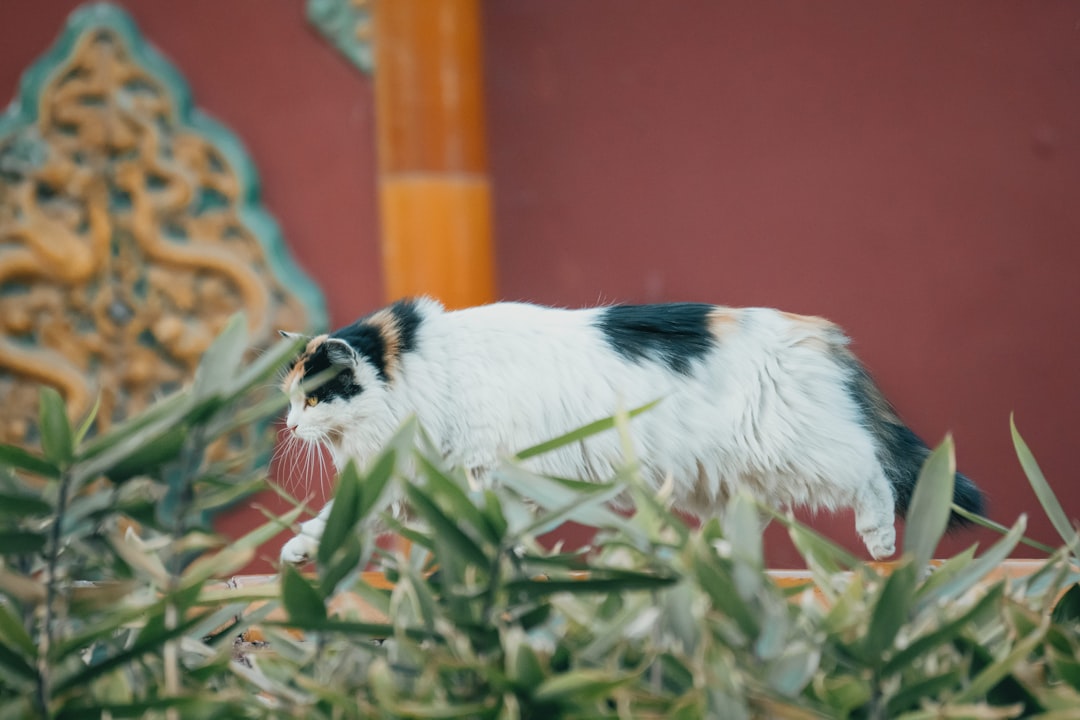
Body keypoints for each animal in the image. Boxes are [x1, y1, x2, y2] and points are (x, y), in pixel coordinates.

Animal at [276, 297, 980, 561]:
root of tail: (816, 331)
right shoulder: (422, 474)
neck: (424, 366)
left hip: (801, 450)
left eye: (311, 399)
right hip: (723, 480)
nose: (287, 424)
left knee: (870, 469)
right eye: (290, 399)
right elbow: (343, 518)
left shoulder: (480, 470)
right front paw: (301, 554)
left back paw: (880, 541)